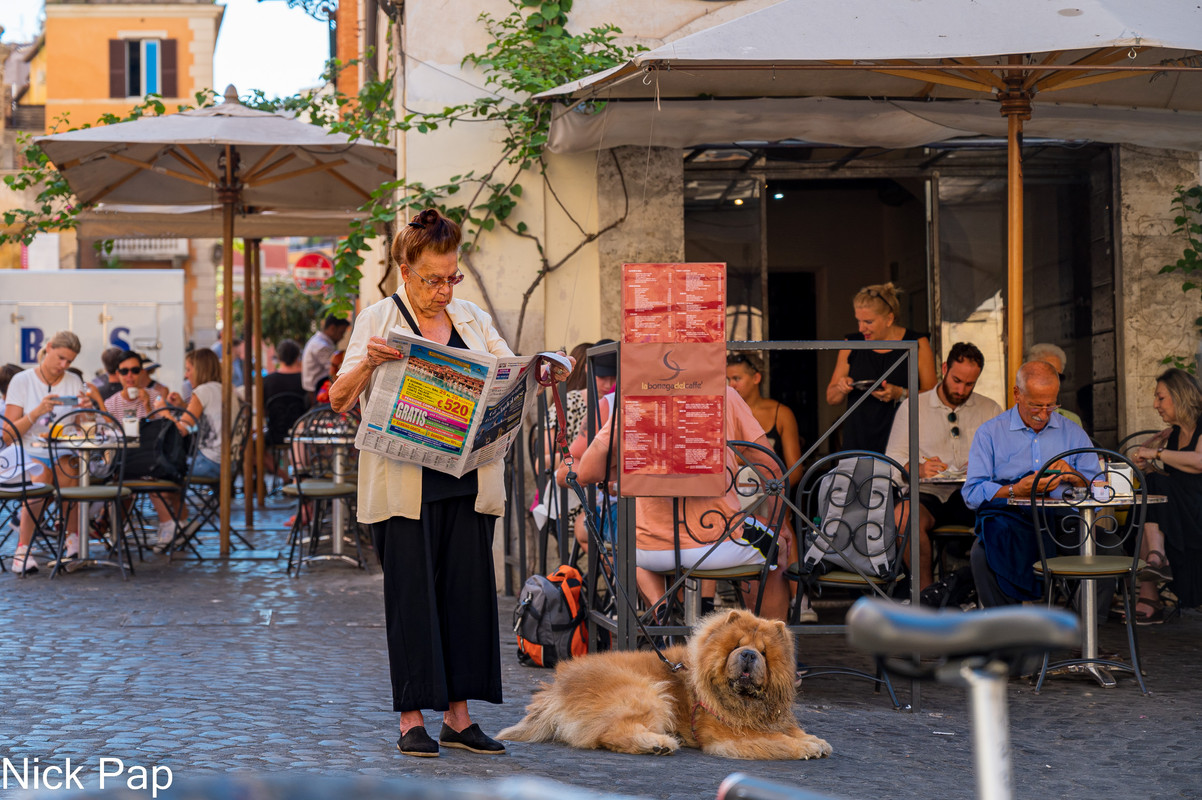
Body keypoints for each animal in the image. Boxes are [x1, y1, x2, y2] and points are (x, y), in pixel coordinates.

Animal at [495, 607, 826, 759]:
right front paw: (805, 747)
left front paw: (813, 739)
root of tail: (556, 687)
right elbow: (776, 740)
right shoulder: (730, 736)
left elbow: (788, 730)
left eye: (764, 653)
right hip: (646, 693)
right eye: (736, 646)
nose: (748, 655)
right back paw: (658, 743)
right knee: (610, 733)